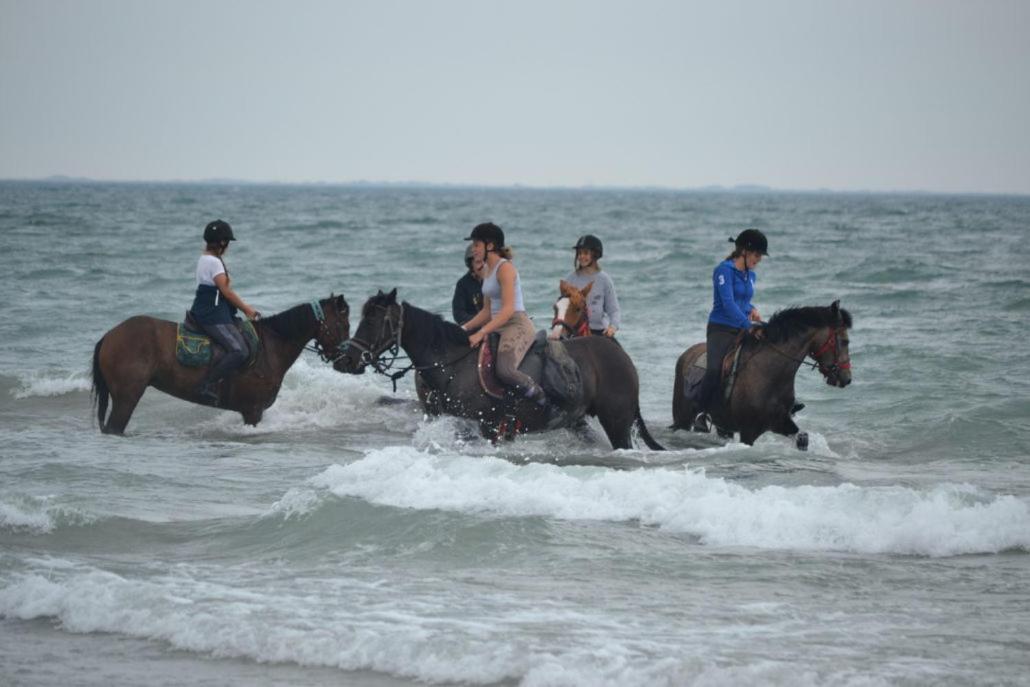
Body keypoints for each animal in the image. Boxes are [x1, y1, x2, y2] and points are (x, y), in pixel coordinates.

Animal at [89, 292, 346, 432]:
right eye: (343, 324)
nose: (344, 360)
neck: (270, 347)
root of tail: (110, 335)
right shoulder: (253, 412)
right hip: (127, 397)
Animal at [333, 290, 663, 451]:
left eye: (373, 320)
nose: (345, 361)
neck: (455, 363)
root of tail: (621, 354)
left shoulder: (488, 427)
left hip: (617, 422)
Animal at [667, 298, 852, 449]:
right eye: (845, 341)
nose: (847, 378)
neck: (769, 374)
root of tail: (686, 354)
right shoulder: (748, 431)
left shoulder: (781, 422)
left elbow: (802, 439)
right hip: (682, 418)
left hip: (722, 425)